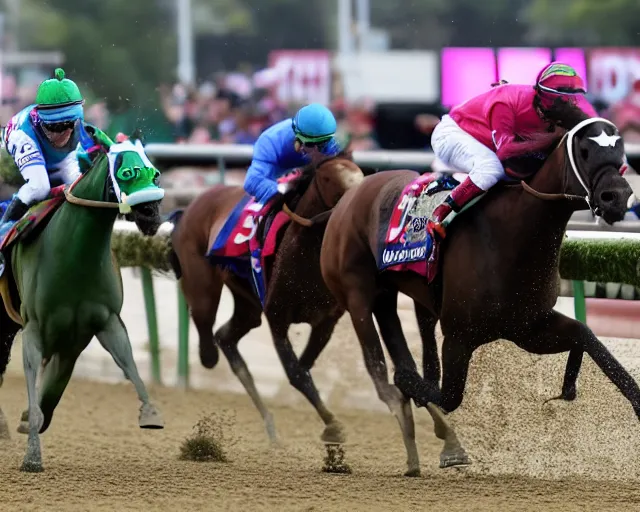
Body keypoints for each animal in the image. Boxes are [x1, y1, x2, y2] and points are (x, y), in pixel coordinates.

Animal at [0, 128, 168, 472]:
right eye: (125, 172)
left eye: (155, 172)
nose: (151, 214)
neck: (74, 257)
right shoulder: (35, 327)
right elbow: (34, 390)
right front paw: (32, 455)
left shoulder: (96, 327)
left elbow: (128, 364)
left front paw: (150, 412)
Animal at [168, 152, 362, 444]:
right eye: (328, 178)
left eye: (361, 174)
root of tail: (188, 207)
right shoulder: (276, 317)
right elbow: (296, 372)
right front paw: (333, 425)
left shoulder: (326, 321)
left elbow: (303, 367)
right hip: (202, 284)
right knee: (206, 327)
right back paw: (208, 356)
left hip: (247, 305)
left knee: (226, 337)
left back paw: (270, 425)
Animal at [318, 104, 636, 476]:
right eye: (585, 150)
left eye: (620, 151)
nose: (618, 197)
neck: (513, 235)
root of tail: (350, 195)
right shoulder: (459, 335)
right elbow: (445, 394)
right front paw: (411, 387)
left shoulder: (528, 327)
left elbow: (588, 337)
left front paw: (583, 391)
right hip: (355, 294)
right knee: (379, 367)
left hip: (390, 295)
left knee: (404, 347)